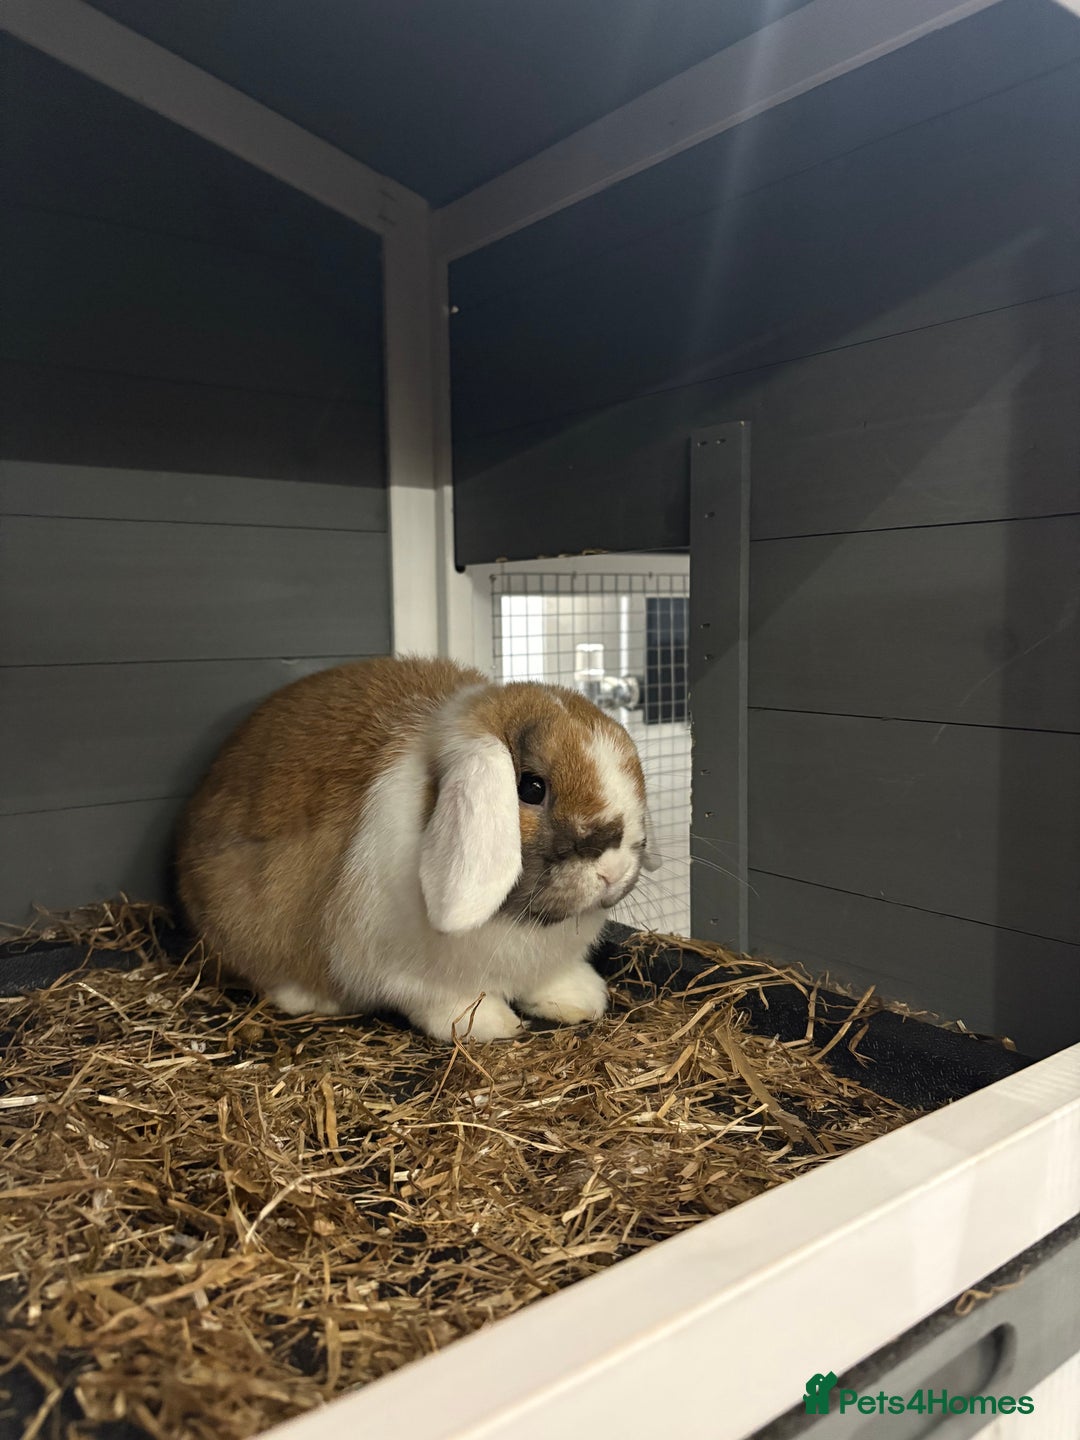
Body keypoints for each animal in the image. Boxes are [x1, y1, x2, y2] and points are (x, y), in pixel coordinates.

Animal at [176, 656, 657, 1042]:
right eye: (531, 788)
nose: (614, 870)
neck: (518, 922)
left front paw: (582, 999)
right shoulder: (409, 975)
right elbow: (447, 1003)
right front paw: (491, 1025)